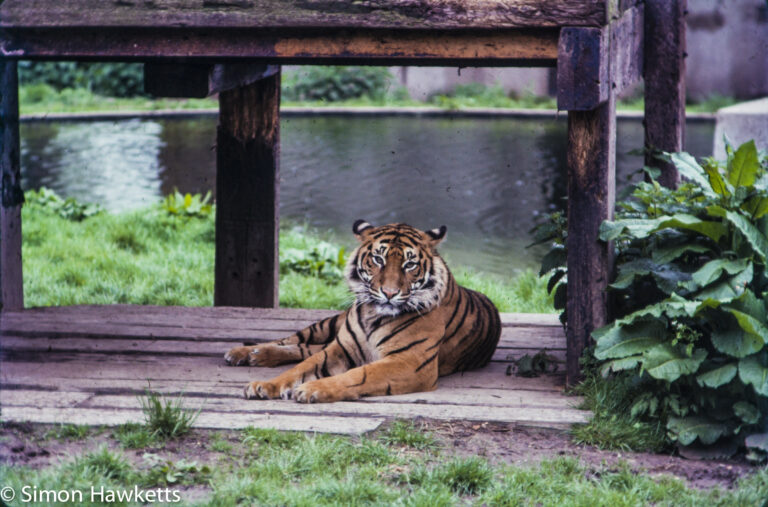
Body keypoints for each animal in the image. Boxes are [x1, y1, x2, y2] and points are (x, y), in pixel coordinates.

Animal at [225, 220, 500, 402]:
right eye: (378, 259)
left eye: (410, 265)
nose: (389, 293)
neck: (373, 316)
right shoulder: (339, 348)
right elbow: (299, 368)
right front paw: (264, 385)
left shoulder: (410, 362)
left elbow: (358, 374)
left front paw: (312, 389)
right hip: (327, 325)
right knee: (295, 341)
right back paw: (246, 353)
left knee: (304, 348)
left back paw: (255, 356)